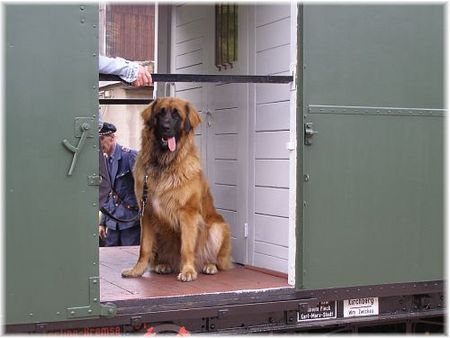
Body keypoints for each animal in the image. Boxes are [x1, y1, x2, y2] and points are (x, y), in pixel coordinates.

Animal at [121, 96, 232, 282]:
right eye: (160, 113)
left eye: (176, 115)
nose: (166, 128)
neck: (164, 164)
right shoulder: (147, 212)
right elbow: (144, 248)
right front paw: (137, 270)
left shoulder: (188, 213)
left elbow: (186, 247)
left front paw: (187, 271)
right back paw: (163, 264)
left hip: (218, 228)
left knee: (214, 258)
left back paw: (209, 266)